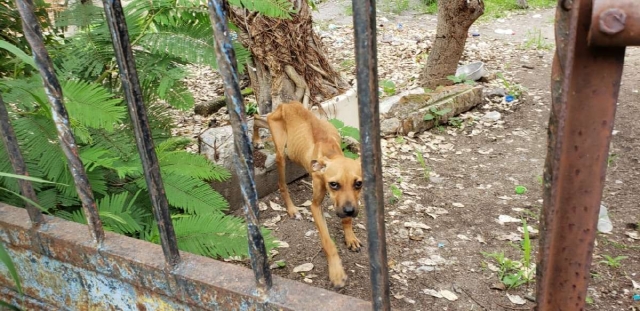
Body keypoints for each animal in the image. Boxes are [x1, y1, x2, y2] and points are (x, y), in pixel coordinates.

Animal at [255, 101, 364, 288]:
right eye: (333, 184)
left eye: (358, 184)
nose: (350, 210)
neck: (330, 152)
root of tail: (286, 104)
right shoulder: (315, 206)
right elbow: (328, 242)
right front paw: (336, 272)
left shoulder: (350, 201)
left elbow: (346, 219)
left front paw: (350, 237)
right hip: (281, 152)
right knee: (281, 184)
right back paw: (292, 209)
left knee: (256, 118)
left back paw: (255, 140)